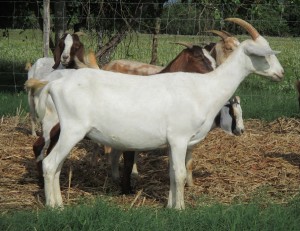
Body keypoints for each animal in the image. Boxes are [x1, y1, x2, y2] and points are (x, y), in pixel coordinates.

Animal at [27, 18, 282, 209]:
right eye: (263, 54)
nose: (280, 73)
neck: (204, 88)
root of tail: (53, 84)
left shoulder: (173, 143)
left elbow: (171, 173)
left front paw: (170, 205)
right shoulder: (179, 138)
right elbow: (179, 174)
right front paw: (179, 209)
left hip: (64, 131)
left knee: (55, 165)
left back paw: (58, 201)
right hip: (71, 129)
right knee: (49, 164)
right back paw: (55, 207)